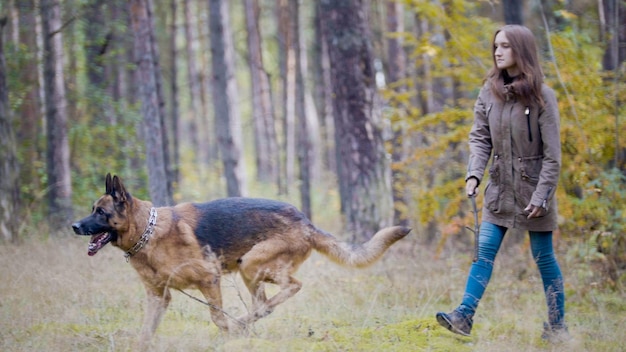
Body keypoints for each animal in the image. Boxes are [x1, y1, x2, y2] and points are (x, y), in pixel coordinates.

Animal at [72, 173, 410, 346]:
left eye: (100, 212)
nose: (74, 226)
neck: (148, 230)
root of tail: (305, 221)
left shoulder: (210, 280)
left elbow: (217, 318)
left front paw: (227, 339)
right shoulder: (159, 297)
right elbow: (146, 331)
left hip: (251, 264)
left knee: (291, 288)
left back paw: (242, 325)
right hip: (251, 272)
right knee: (264, 305)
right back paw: (247, 324)